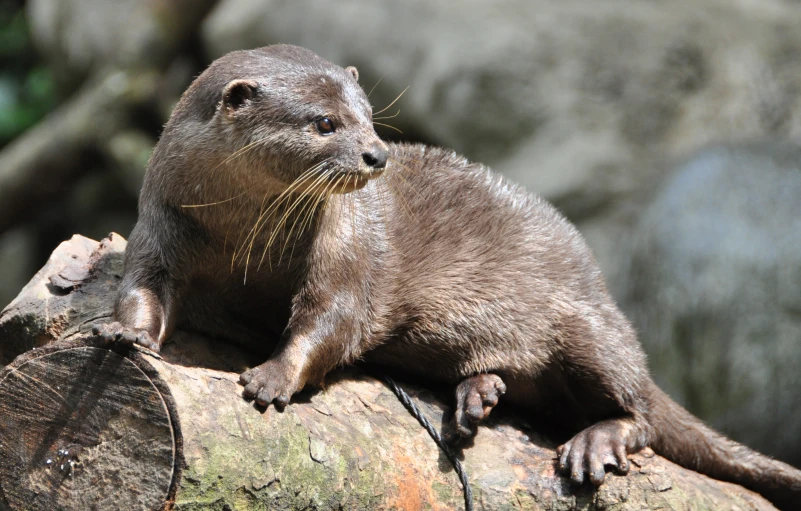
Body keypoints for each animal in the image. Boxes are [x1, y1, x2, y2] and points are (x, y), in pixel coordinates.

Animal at [94, 46, 800, 510]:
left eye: (369, 115)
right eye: (324, 124)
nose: (375, 154)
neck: (243, 239)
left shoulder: (345, 249)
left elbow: (330, 320)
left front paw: (271, 377)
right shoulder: (161, 220)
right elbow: (143, 284)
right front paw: (125, 334)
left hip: (588, 326)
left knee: (643, 410)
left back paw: (592, 440)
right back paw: (476, 395)